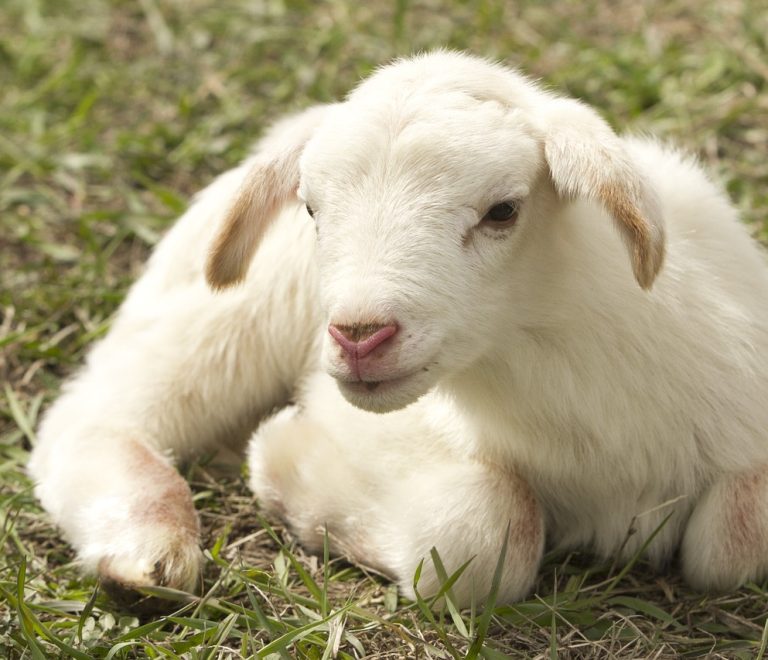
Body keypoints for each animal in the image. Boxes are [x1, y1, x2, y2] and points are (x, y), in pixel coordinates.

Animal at [29, 51, 768, 609]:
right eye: (310, 208)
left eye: (504, 210)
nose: (359, 335)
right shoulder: (370, 424)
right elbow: (489, 532)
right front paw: (286, 466)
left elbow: (734, 537)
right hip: (230, 316)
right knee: (96, 414)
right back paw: (147, 550)